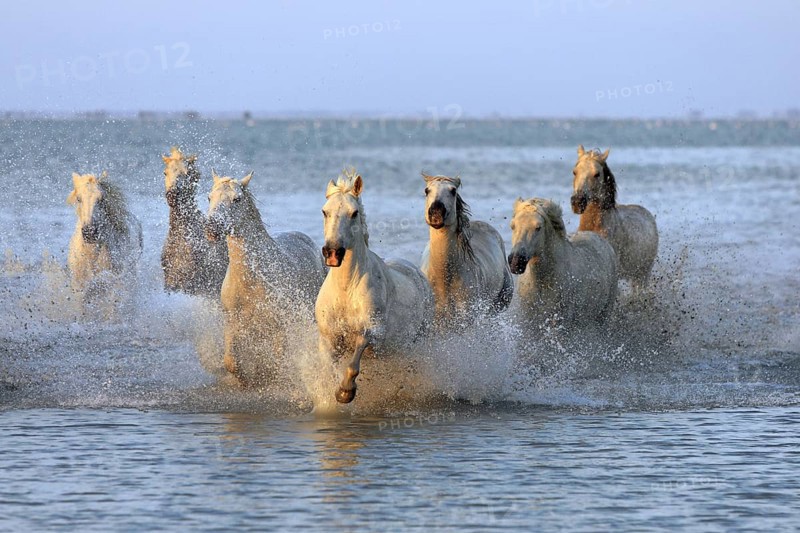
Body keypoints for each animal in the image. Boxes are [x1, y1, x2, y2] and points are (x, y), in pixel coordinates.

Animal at [205, 170, 325, 384]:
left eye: (237, 199)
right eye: (209, 198)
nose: (212, 228)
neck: (251, 280)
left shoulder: (279, 326)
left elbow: (275, 365)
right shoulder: (233, 323)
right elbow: (231, 361)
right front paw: (245, 379)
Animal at [315, 169, 434, 404]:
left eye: (354, 213)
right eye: (325, 211)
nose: (332, 252)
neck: (346, 290)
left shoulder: (372, 334)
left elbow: (353, 364)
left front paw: (346, 392)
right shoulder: (329, 340)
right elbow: (330, 369)